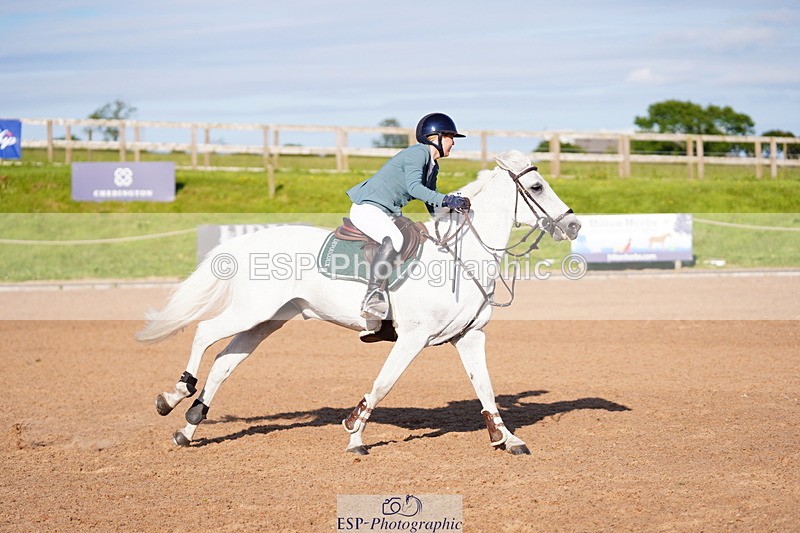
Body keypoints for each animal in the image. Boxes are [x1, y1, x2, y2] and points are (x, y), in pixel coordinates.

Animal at [136, 149, 581, 455]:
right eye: (537, 188)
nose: (574, 225)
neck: (459, 255)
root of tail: (248, 241)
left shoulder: (470, 337)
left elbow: (486, 389)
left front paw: (508, 438)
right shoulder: (412, 339)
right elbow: (383, 384)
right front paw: (355, 435)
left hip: (267, 321)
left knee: (225, 363)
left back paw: (188, 426)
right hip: (252, 312)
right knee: (203, 332)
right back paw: (174, 396)